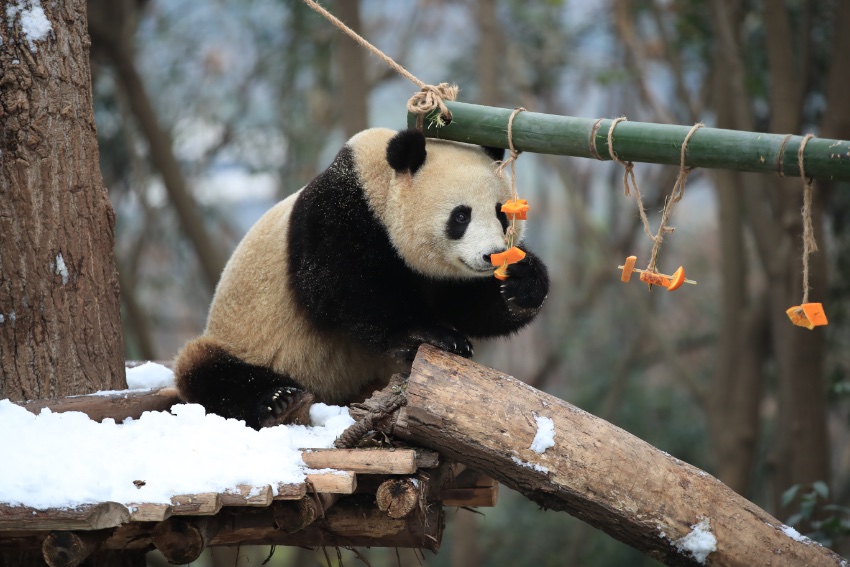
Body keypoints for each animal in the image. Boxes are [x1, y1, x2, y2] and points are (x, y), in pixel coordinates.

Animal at [174, 129, 548, 430]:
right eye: (460, 216)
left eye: (501, 213)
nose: (491, 255)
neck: (377, 181)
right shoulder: (338, 216)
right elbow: (340, 289)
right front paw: (432, 335)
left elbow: (468, 304)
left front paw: (520, 283)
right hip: (240, 339)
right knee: (210, 372)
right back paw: (277, 400)